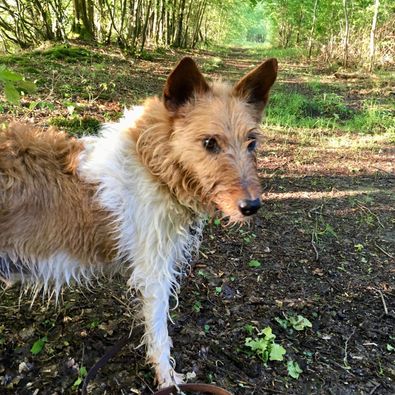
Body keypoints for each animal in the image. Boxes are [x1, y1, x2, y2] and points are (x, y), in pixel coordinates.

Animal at [0, 57, 278, 388]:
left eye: (252, 143)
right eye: (209, 142)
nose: (251, 207)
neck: (155, 165)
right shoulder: (154, 274)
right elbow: (159, 335)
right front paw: (168, 380)